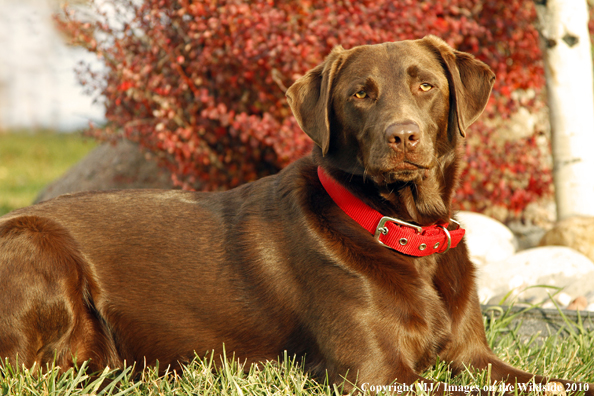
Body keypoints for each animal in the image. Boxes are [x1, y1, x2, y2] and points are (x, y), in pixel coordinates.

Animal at [0, 35, 588, 394]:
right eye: (360, 94)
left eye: (427, 85)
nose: (402, 136)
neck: (402, 231)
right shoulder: (374, 374)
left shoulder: (473, 357)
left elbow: (549, 383)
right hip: (38, 249)